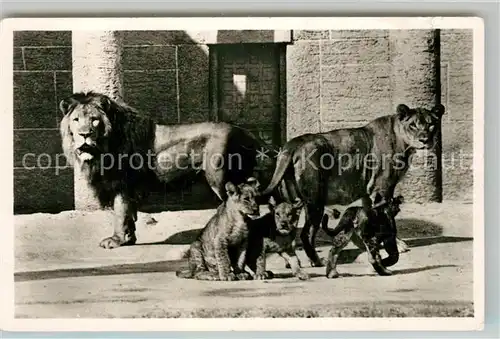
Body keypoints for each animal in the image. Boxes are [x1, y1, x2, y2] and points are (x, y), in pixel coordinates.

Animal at [59, 92, 266, 250]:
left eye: (94, 121)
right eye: (76, 120)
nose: (84, 134)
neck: (104, 146)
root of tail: (247, 133)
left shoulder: (123, 182)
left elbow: (120, 212)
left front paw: (116, 240)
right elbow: (129, 213)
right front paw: (129, 239)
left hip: (220, 179)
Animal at [260, 103, 444, 268]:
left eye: (431, 124)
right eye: (413, 125)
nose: (424, 139)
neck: (403, 141)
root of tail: (291, 146)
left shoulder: (369, 192)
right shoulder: (382, 189)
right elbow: (387, 218)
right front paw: (396, 244)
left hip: (291, 204)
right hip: (315, 202)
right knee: (306, 234)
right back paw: (318, 261)